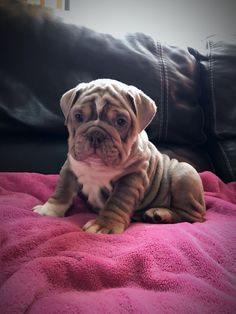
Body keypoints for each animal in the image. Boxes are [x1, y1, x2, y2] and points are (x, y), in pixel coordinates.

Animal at [32, 78, 206, 233]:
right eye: (78, 116)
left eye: (121, 121)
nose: (95, 134)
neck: (96, 167)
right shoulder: (70, 168)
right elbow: (62, 191)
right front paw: (49, 210)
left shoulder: (130, 179)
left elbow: (116, 202)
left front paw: (104, 225)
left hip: (185, 173)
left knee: (190, 216)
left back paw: (161, 213)